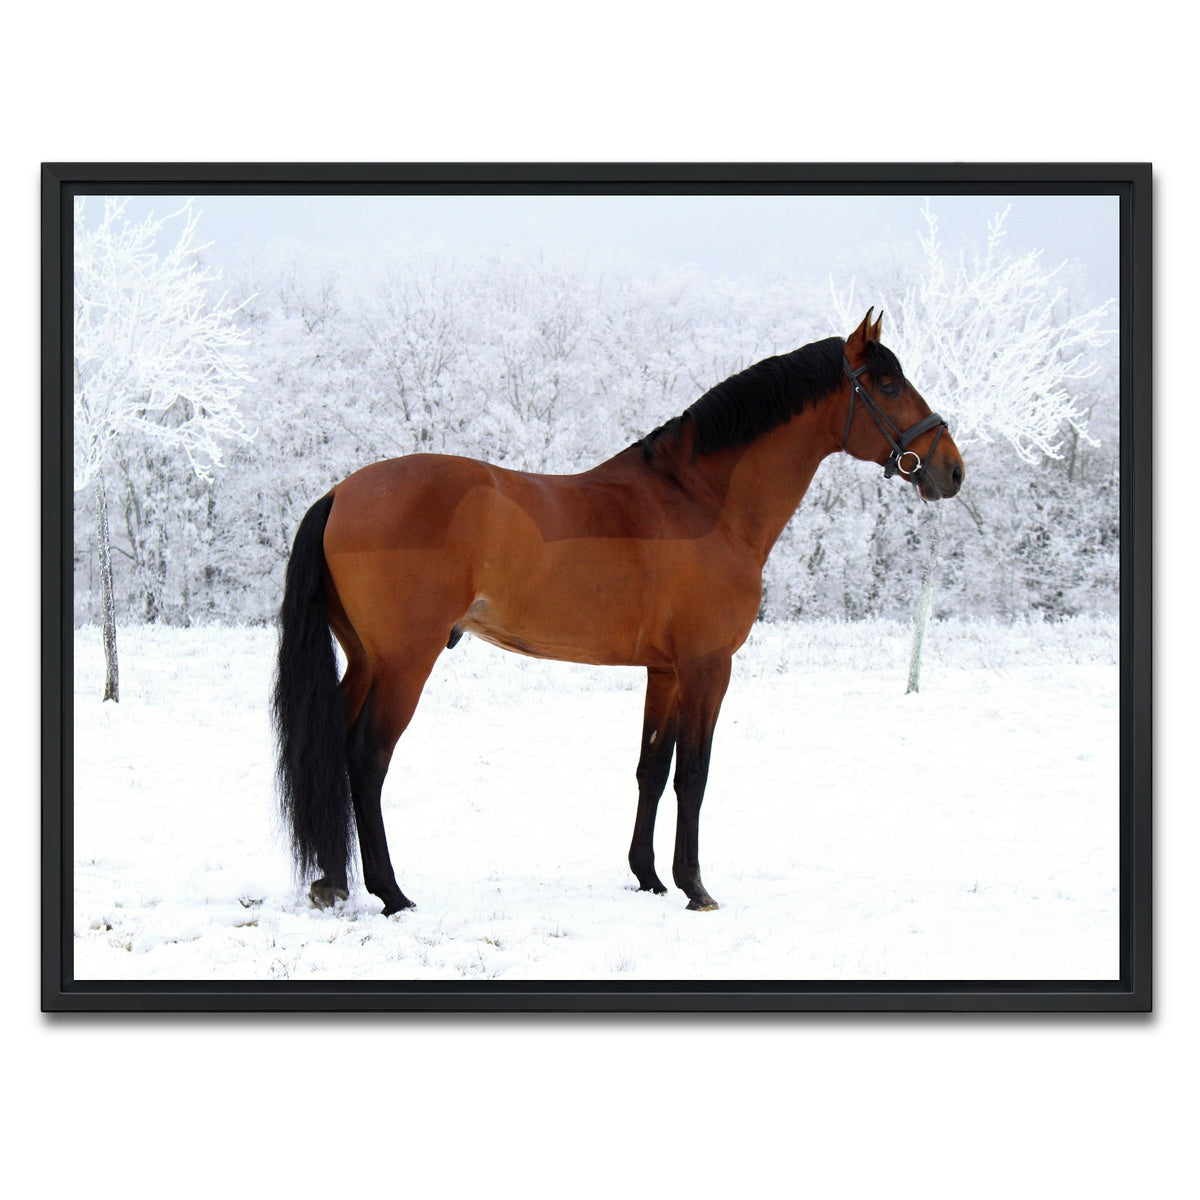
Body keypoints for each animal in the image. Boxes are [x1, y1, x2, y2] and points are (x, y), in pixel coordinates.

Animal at [272, 309, 964, 915]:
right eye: (887, 384)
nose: (951, 470)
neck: (699, 502)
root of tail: (340, 494)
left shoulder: (666, 671)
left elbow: (651, 769)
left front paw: (649, 877)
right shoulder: (708, 666)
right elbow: (694, 774)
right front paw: (695, 887)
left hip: (365, 659)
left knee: (331, 748)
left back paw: (332, 882)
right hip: (404, 663)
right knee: (366, 756)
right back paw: (390, 893)